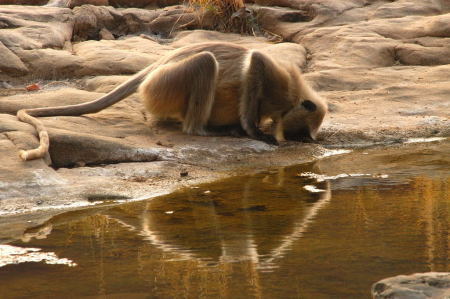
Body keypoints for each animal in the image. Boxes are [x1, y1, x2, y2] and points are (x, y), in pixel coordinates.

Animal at [16, 42, 326, 162]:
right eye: (300, 131)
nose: (302, 139)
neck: (294, 97)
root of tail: (157, 66)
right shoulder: (280, 82)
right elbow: (256, 61)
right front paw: (254, 131)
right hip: (164, 85)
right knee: (205, 62)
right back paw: (204, 129)